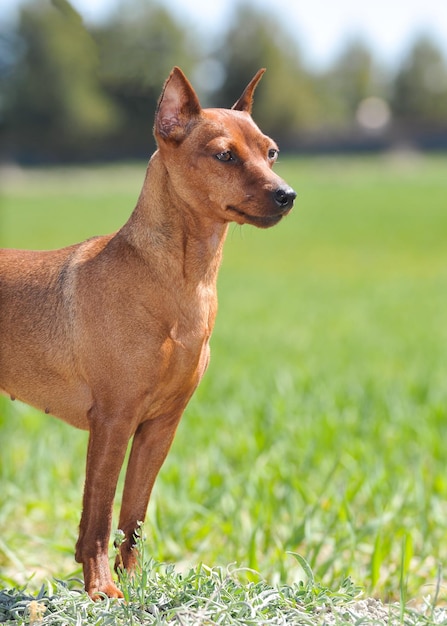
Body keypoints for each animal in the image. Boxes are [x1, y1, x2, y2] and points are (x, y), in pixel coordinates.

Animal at [0, 67, 296, 596]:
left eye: (271, 152)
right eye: (224, 155)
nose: (287, 195)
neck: (182, 279)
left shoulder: (160, 426)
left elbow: (133, 515)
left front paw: (137, 584)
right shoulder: (113, 421)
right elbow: (97, 517)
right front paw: (102, 590)